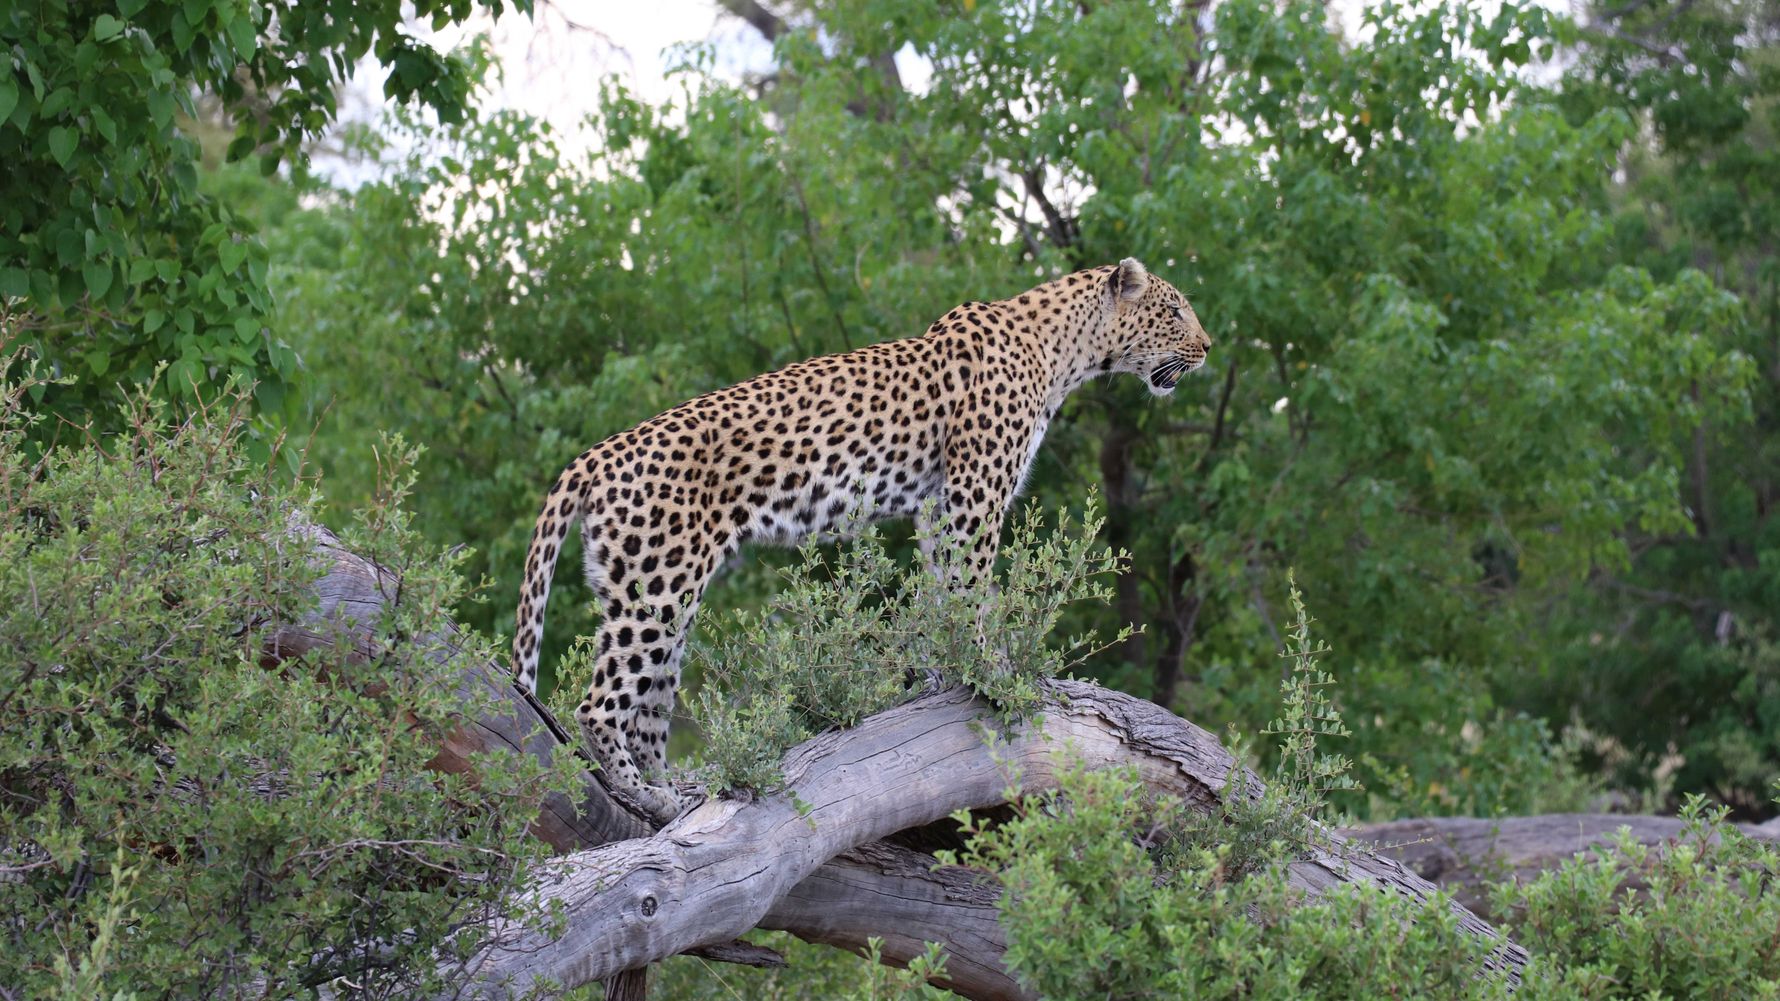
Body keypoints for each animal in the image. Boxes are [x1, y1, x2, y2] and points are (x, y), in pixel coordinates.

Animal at [512, 258, 1210, 821]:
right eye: (1175, 309)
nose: (1206, 347)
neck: (1065, 352)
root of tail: (599, 453)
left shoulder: (938, 502)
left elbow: (942, 588)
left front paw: (940, 674)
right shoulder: (977, 491)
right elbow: (973, 589)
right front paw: (992, 673)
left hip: (662, 589)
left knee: (650, 708)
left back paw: (673, 790)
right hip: (656, 587)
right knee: (599, 704)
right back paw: (646, 796)